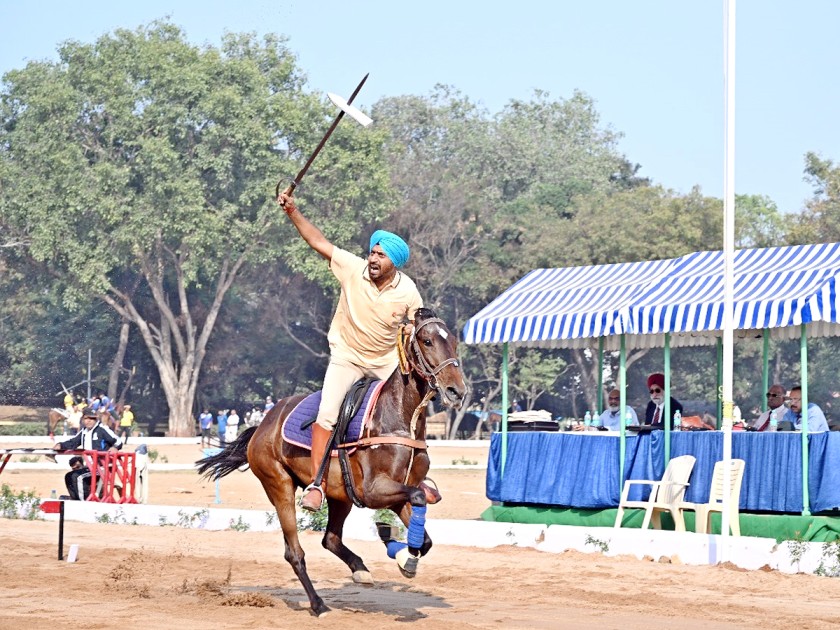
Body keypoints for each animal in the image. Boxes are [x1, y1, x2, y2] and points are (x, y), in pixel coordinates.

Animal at [199, 308, 470, 620]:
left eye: (453, 341)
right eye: (427, 341)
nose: (456, 391)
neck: (402, 420)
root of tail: (261, 425)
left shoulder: (398, 489)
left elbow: (424, 536)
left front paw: (399, 552)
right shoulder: (374, 490)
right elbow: (416, 504)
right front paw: (398, 549)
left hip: (341, 495)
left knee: (329, 538)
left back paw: (360, 570)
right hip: (279, 485)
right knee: (295, 552)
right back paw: (319, 605)